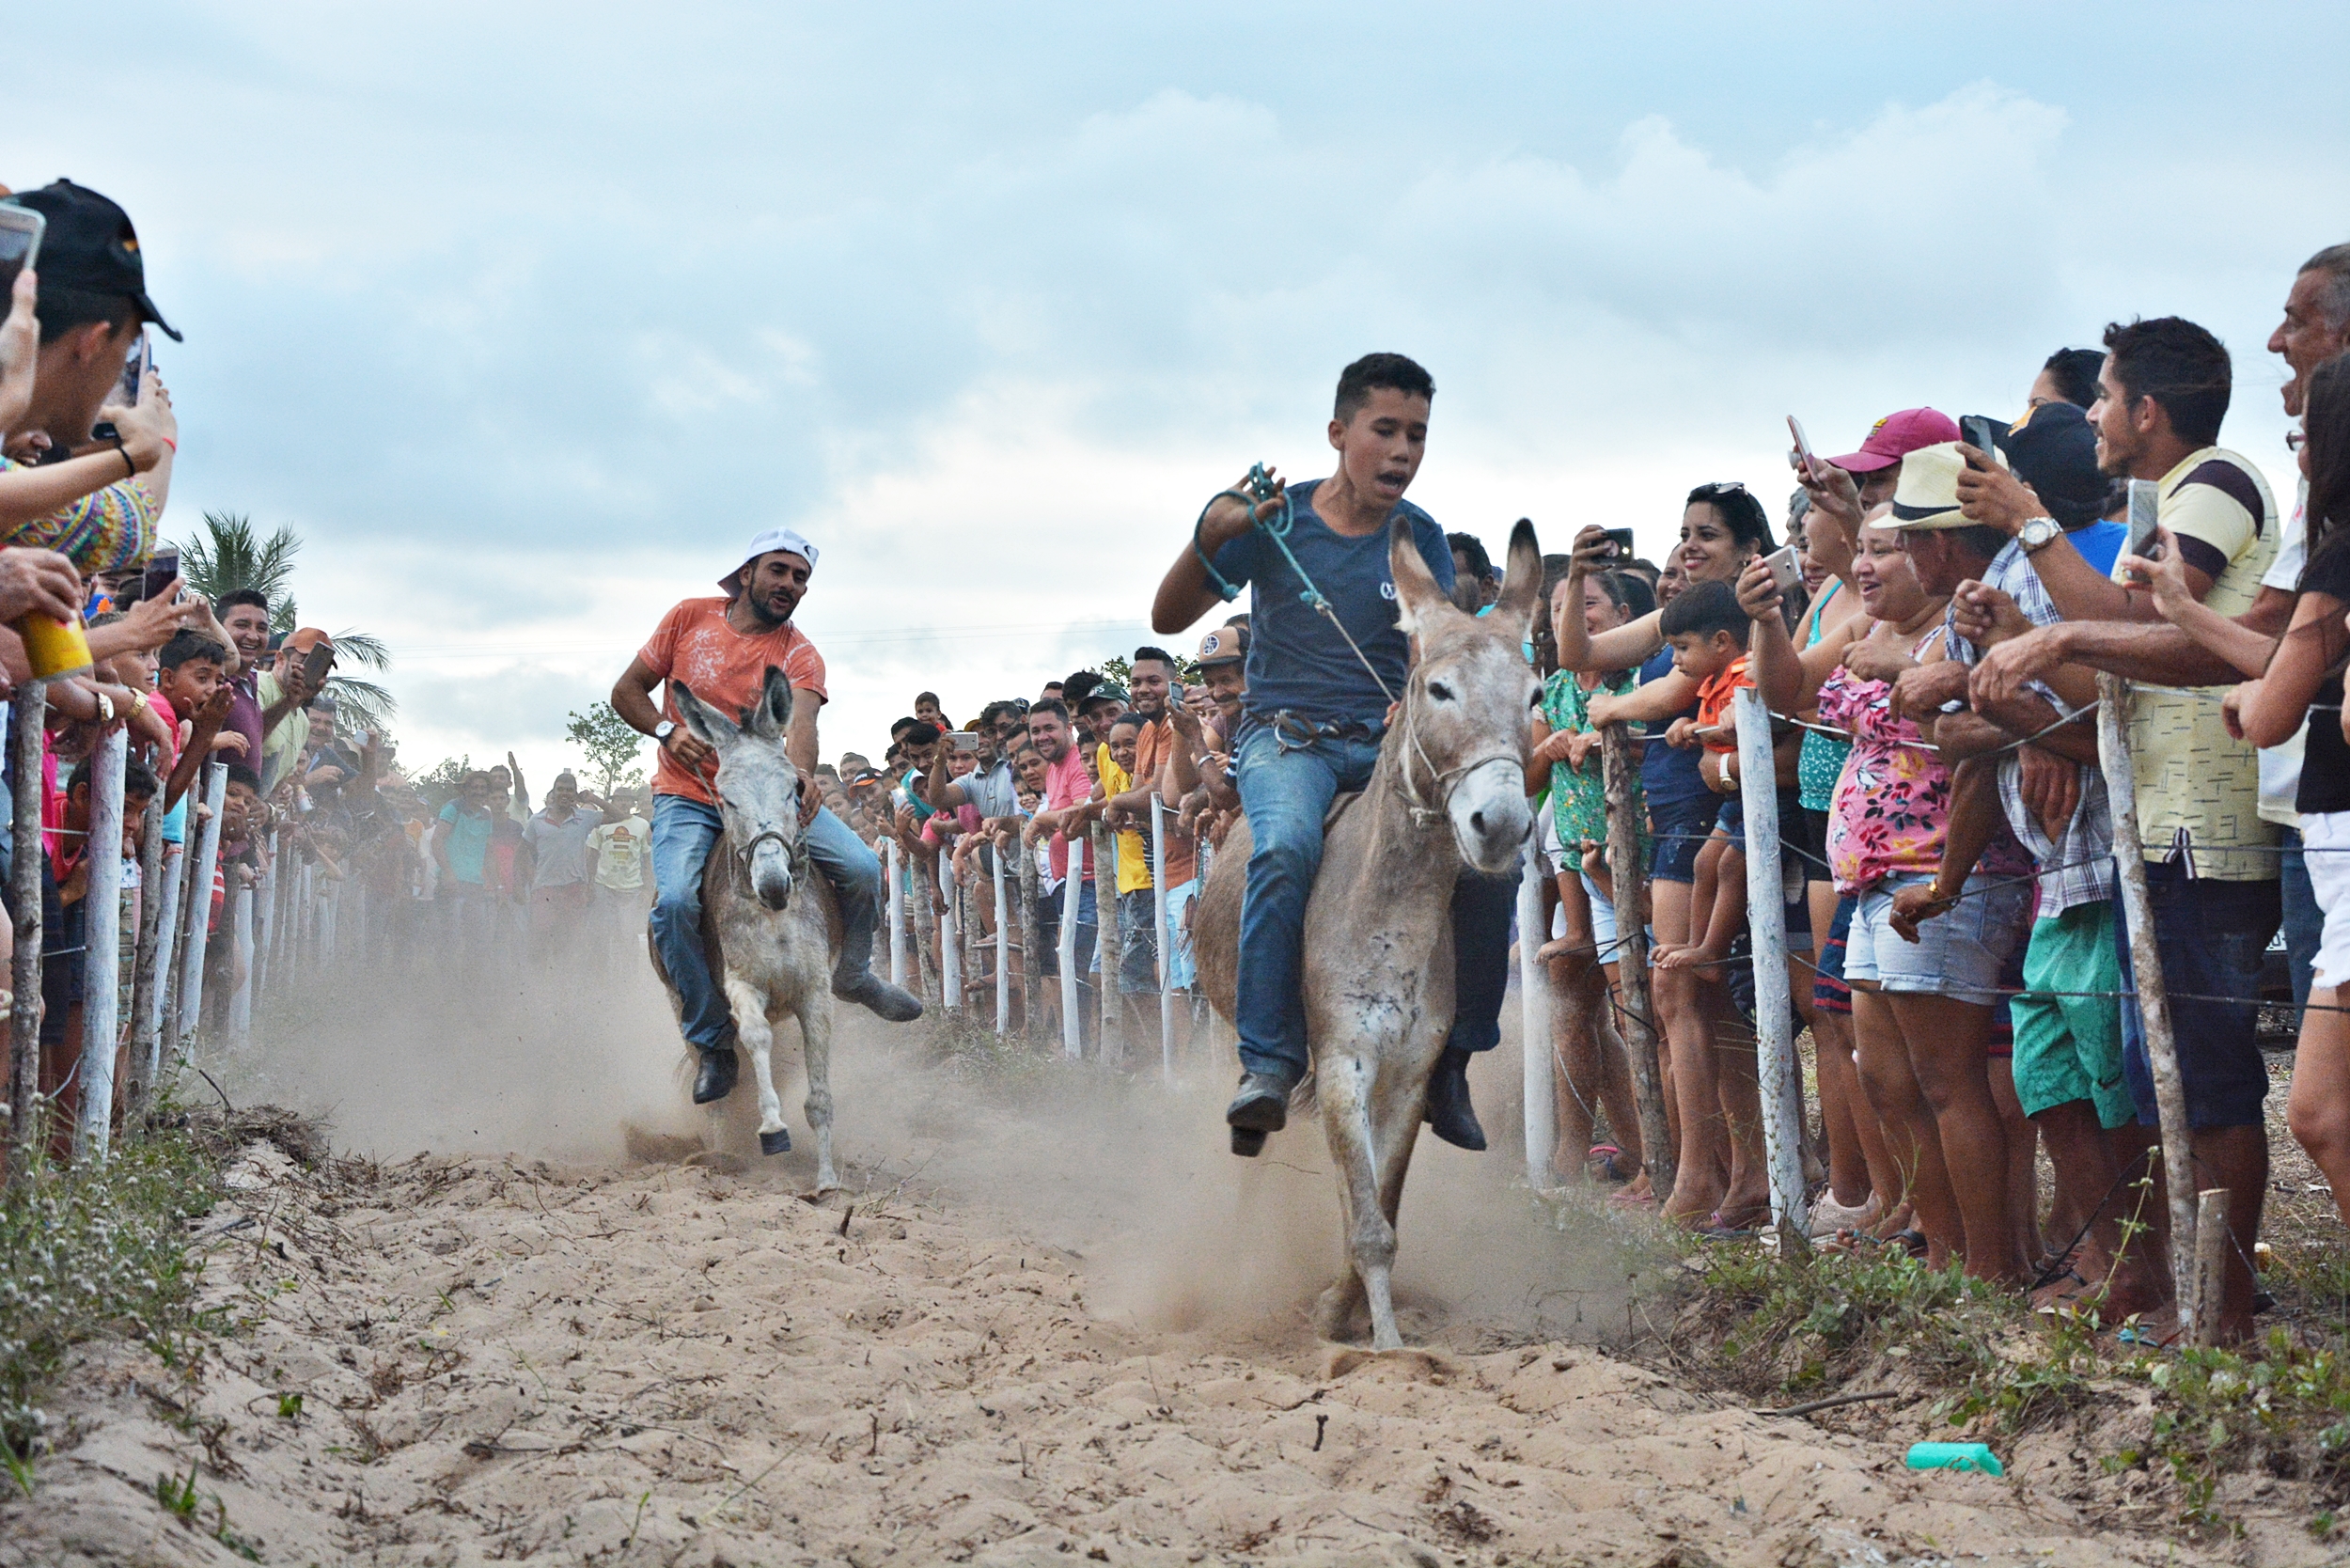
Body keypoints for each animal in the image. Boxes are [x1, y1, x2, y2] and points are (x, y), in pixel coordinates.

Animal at [649, 666, 845, 1192]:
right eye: (726, 796)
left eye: (792, 789)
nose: (774, 883)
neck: (774, 917)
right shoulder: (742, 986)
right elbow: (755, 1039)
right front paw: (773, 1130)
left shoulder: (814, 993)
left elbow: (820, 1097)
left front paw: (826, 1181)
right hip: (681, 1001)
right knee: (714, 1069)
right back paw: (720, 1153)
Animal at [1194, 516, 1541, 1350]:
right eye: (1437, 688)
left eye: (1536, 694)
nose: (1500, 824)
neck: (1389, 919)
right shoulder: (1344, 1060)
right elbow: (1370, 1221)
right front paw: (1384, 1348)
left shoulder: (1408, 1075)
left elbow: (1379, 1203)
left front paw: (1337, 1310)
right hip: (1233, 1036)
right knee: (1254, 1144)